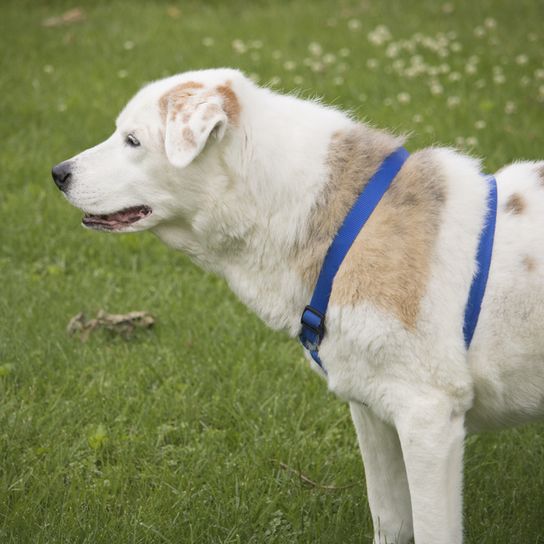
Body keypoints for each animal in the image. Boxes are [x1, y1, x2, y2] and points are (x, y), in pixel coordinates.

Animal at [52, 68, 544, 544]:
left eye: (133, 141)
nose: (58, 173)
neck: (348, 229)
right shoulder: (373, 412)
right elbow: (390, 519)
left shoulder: (429, 419)